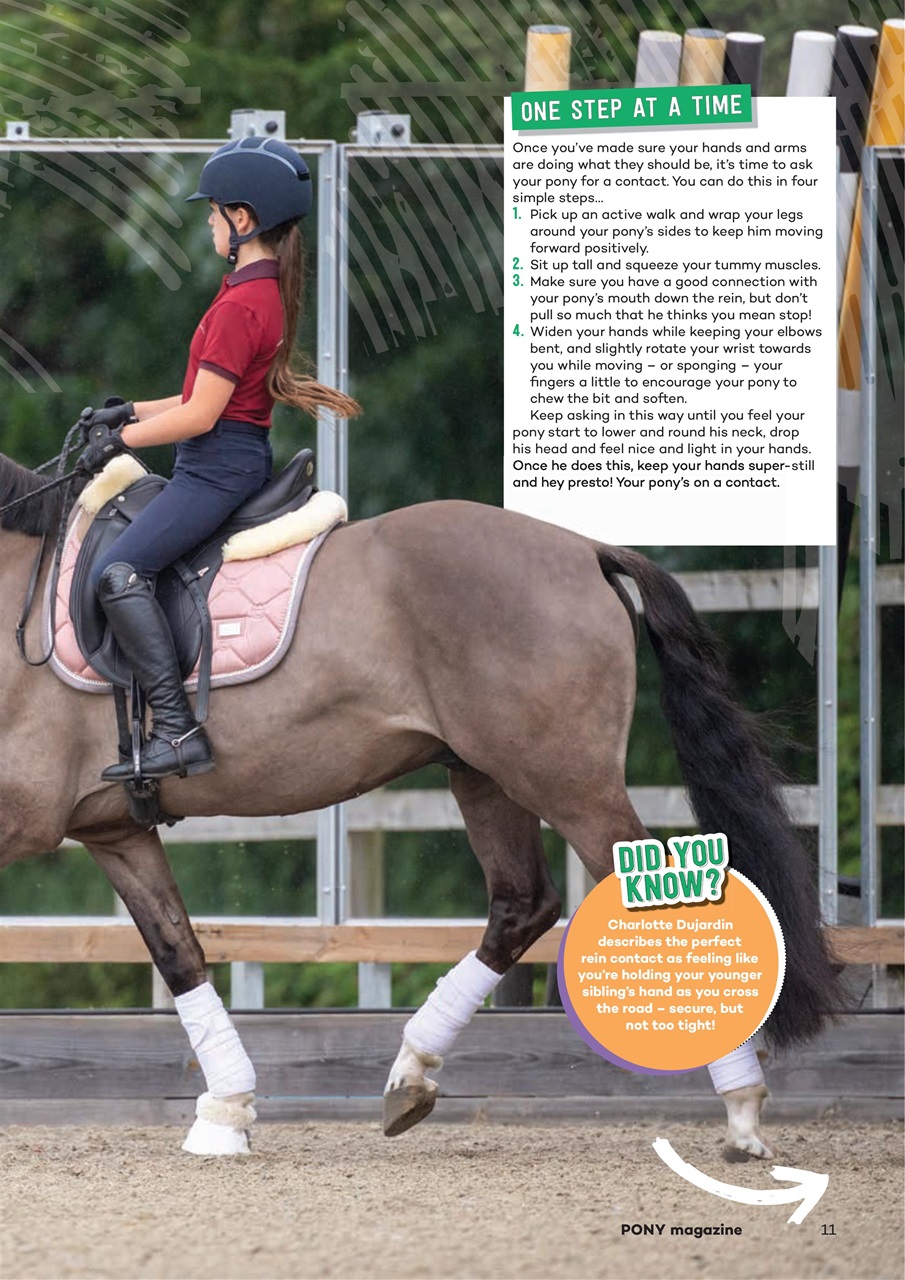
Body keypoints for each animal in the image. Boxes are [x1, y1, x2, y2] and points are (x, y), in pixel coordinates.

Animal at [0, 451, 841, 1155]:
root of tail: (584, 549)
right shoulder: (114, 831)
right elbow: (178, 952)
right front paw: (226, 1113)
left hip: (566, 780)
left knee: (660, 906)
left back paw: (741, 1111)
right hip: (486, 776)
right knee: (523, 905)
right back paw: (409, 1074)